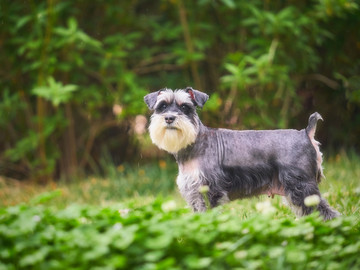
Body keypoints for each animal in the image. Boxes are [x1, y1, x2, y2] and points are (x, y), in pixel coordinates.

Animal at [144, 86, 340, 219]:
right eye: (162, 106)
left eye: (185, 107)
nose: (169, 118)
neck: (196, 142)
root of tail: (306, 133)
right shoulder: (194, 194)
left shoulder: (211, 191)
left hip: (302, 187)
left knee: (326, 212)